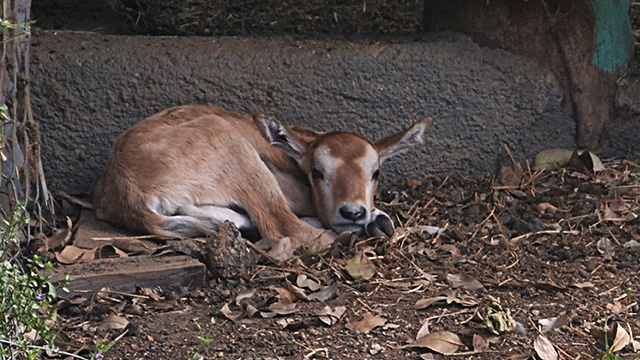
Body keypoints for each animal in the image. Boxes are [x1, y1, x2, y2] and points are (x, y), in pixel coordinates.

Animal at [94, 105, 436, 248]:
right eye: (317, 171)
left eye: (375, 172)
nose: (353, 212)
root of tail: (130, 190)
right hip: (235, 152)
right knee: (283, 226)